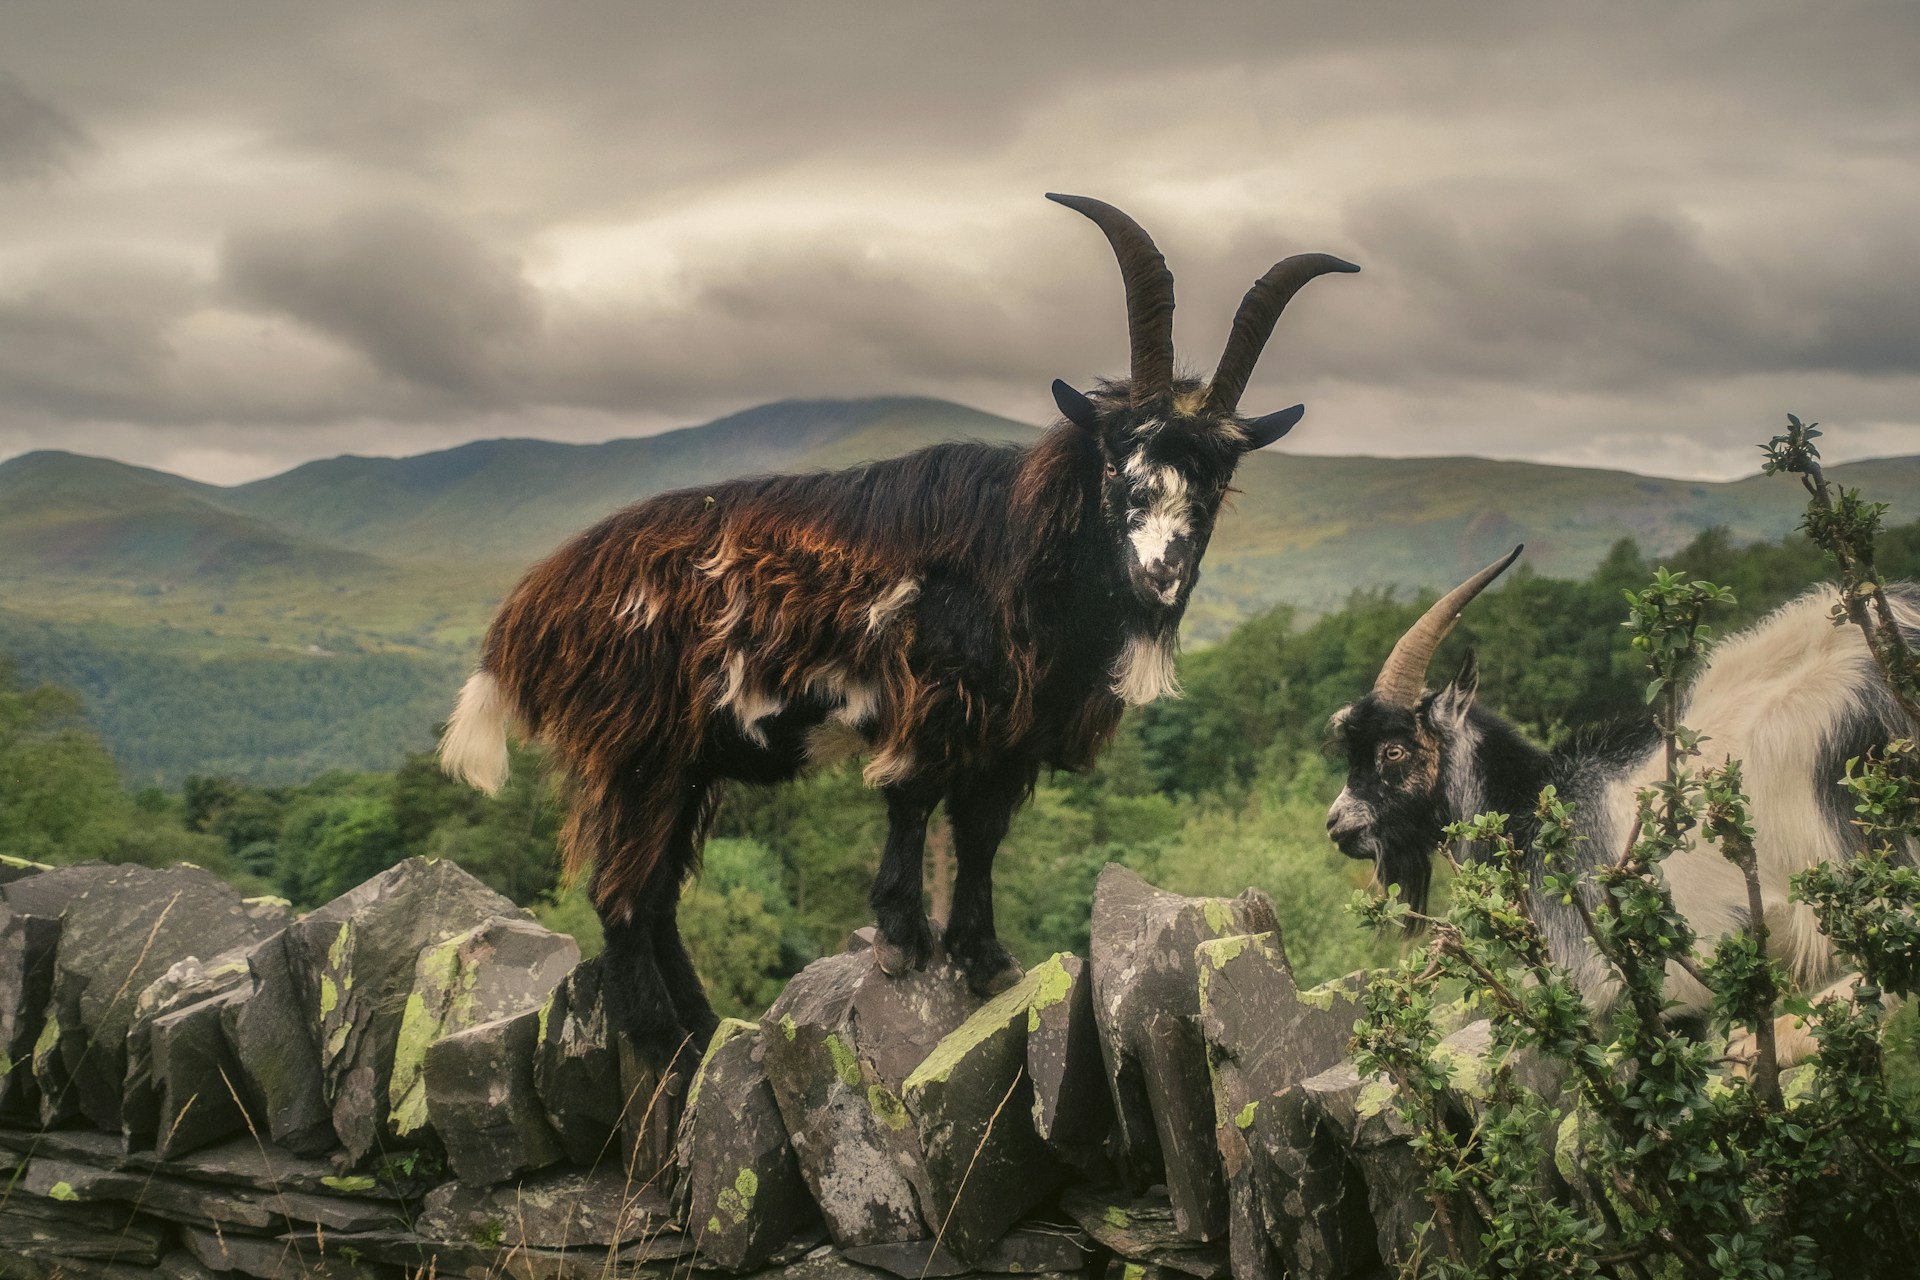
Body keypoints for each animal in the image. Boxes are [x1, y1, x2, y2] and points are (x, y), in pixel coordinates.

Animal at [440, 194, 1359, 1071]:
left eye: (1218, 478)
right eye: (1114, 458)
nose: (1159, 575)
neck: (1015, 549)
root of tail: (527, 614)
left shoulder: (1010, 739)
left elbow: (980, 835)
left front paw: (982, 958)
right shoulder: (929, 703)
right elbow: (914, 806)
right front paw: (901, 943)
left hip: (685, 765)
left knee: (657, 892)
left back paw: (701, 1026)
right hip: (637, 753)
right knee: (622, 895)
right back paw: (662, 1039)